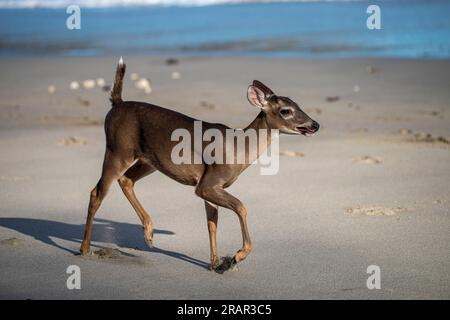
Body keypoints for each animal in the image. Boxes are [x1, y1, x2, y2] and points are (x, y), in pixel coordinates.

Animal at [81, 57, 320, 272]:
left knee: (126, 180)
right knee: (97, 192)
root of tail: (117, 104)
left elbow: (212, 223)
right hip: (117, 150)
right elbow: (241, 207)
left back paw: (148, 234)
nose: (314, 124)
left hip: (149, 160)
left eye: (298, 105)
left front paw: (216, 264)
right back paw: (85, 249)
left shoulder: (210, 186)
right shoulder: (208, 183)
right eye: (286, 110)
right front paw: (235, 257)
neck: (238, 147)